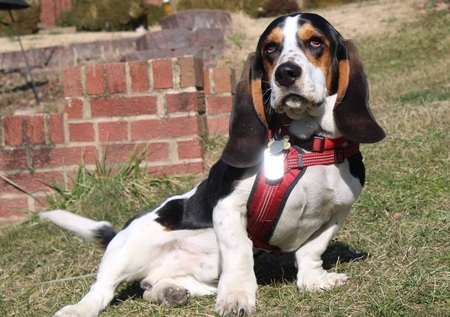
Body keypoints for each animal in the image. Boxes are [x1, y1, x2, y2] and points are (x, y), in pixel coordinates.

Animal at [40, 12, 384, 316]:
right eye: (270, 49)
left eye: (315, 42)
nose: (286, 73)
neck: (306, 146)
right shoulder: (228, 207)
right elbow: (239, 252)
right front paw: (236, 297)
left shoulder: (336, 212)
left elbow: (311, 251)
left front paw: (314, 280)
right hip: (127, 250)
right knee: (101, 290)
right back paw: (80, 309)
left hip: (191, 275)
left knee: (151, 284)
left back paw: (168, 291)